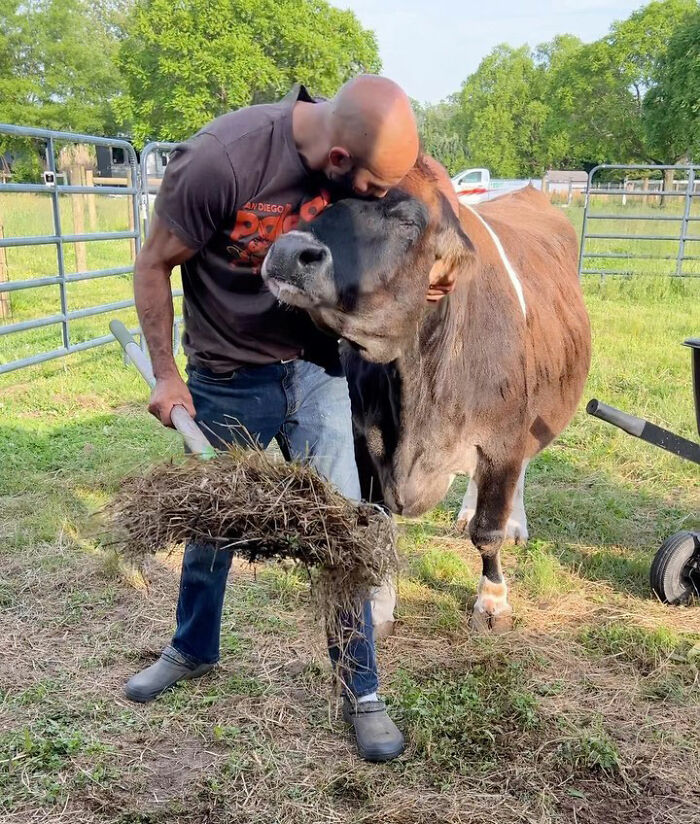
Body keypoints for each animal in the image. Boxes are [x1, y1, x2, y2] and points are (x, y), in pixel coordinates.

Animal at [262, 159, 592, 632]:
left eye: (408, 221)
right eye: (324, 200)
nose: (289, 251)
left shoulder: (504, 443)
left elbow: (487, 533)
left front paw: (493, 600)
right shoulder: (363, 442)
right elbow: (377, 528)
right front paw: (380, 605)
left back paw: (515, 522)